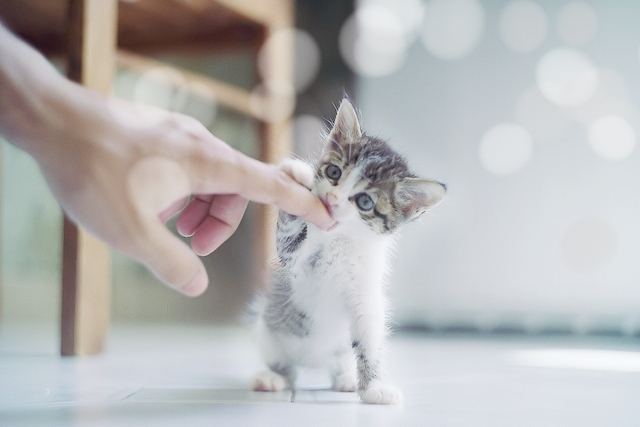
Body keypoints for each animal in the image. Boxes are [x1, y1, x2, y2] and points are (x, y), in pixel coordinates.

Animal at [251, 98, 444, 404]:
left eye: (365, 201)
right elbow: (289, 240)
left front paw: (373, 387)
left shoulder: (367, 300)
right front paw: (297, 175)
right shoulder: (293, 267)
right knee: (286, 367)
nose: (332, 198)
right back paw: (273, 377)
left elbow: (369, 344)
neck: (339, 240)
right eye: (334, 173)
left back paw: (346, 380)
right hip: (266, 331)